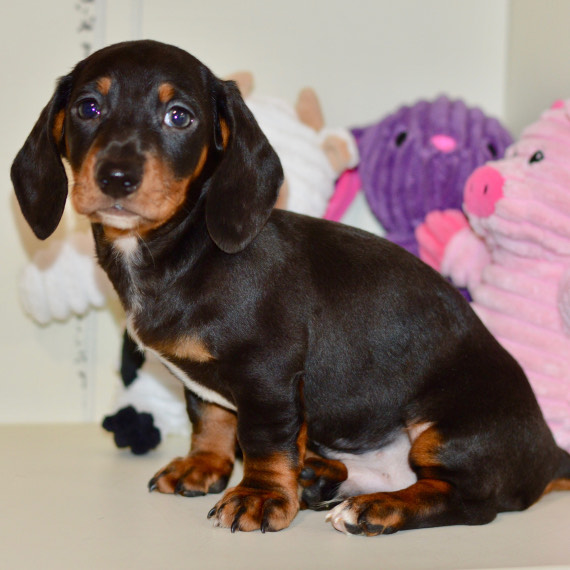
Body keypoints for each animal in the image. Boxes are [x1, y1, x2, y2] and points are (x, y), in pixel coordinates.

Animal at [10, 40, 568, 532]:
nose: (117, 177)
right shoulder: (204, 381)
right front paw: (203, 467)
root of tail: (549, 453)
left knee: (465, 501)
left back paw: (374, 509)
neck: (188, 249)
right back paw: (318, 477)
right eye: (88, 107)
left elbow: (263, 438)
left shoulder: (267, 373)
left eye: (179, 117)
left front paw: (259, 496)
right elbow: (209, 418)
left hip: (447, 432)